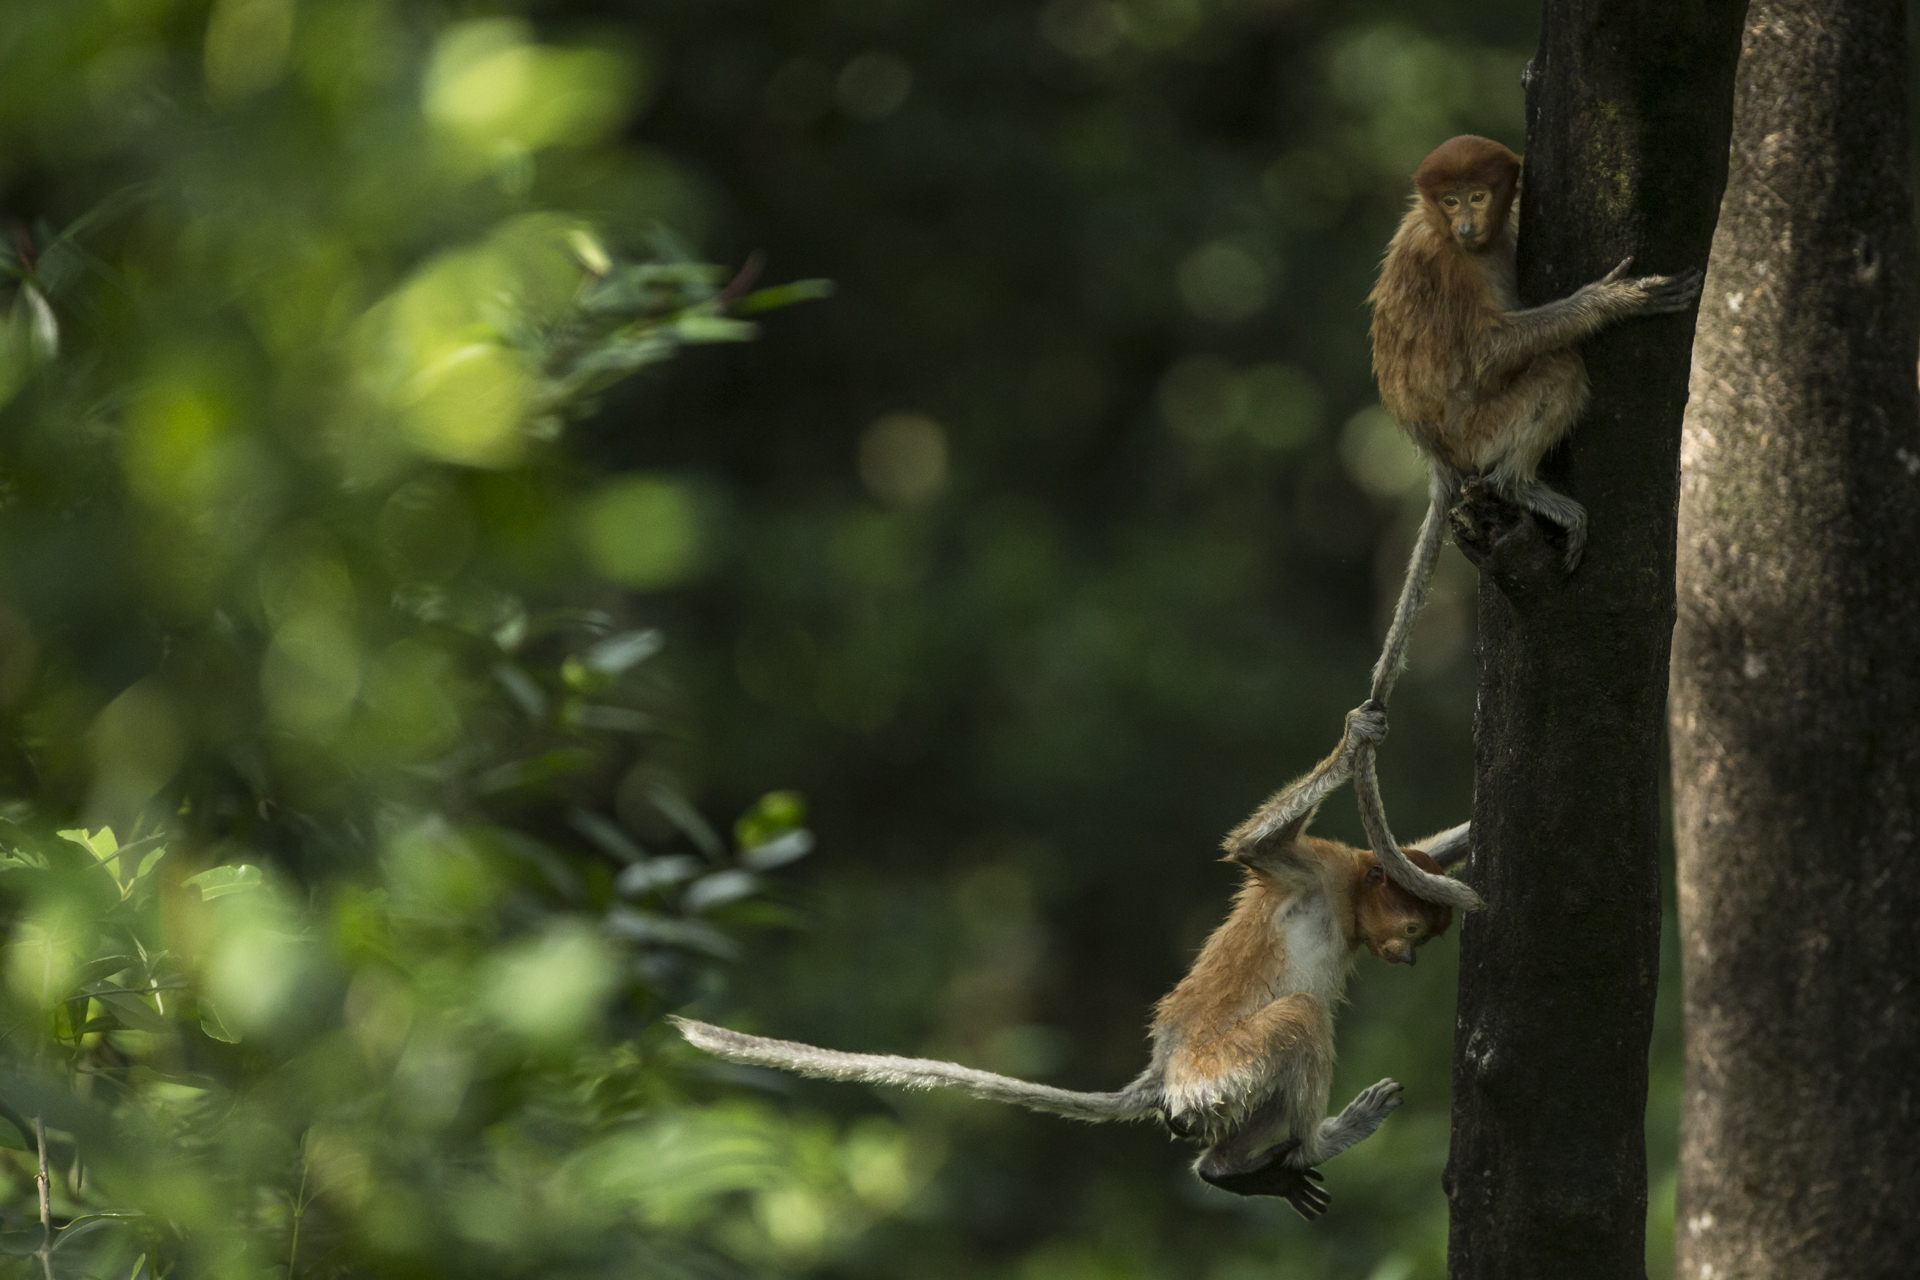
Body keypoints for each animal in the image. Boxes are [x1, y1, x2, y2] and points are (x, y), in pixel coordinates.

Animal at [668, 706, 1474, 1220]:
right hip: (1220, 1068)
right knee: (1301, 1018)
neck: (1345, 902)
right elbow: (1256, 846)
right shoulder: (1317, 869)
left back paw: (1231, 1170)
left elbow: (1425, 844)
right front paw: (1357, 739)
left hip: (1213, 1089)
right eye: (1409, 928)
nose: (1407, 957)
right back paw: (1295, 1151)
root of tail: (1165, 1069)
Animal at [1344, 135, 1704, 905]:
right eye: (1450, 199)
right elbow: (1487, 350)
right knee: (1559, 365)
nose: (1467, 223)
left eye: (1478, 195)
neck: (1462, 242)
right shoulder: (1445, 263)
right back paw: (1522, 486)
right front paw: (1612, 300)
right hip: (1481, 424)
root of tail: (1434, 450)